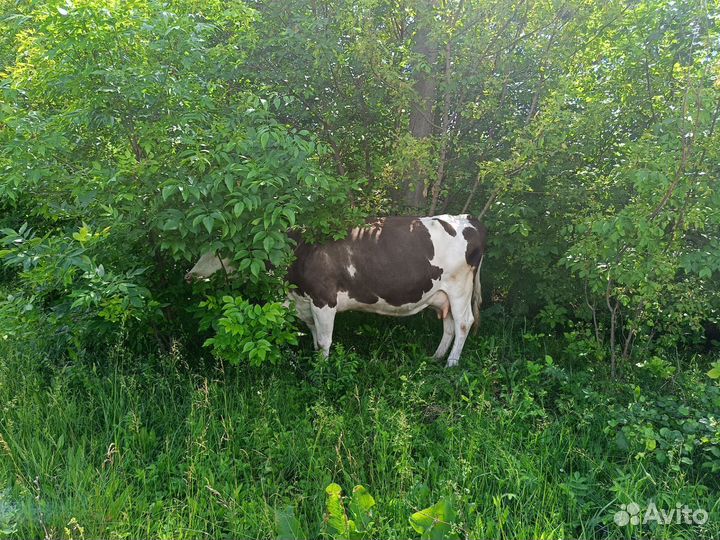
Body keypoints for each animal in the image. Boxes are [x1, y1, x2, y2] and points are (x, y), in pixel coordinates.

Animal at [185, 215, 487, 367]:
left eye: (219, 250)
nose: (189, 275)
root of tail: (468, 220)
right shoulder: (305, 302)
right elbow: (314, 334)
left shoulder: (323, 299)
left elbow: (324, 340)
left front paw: (322, 371)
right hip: (443, 295)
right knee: (449, 325)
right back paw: (436, 357)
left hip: (459, 288)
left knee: (463, 323)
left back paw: (451, 364)